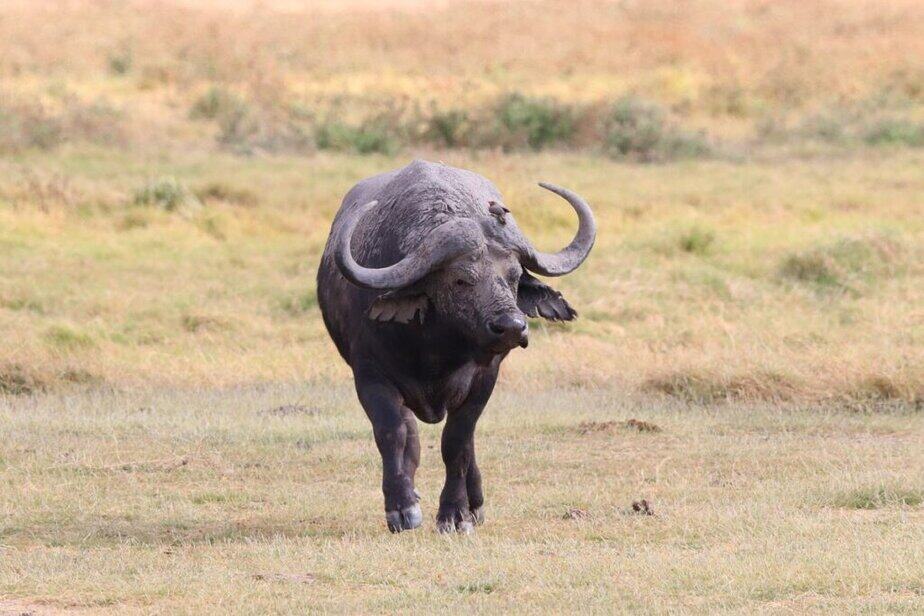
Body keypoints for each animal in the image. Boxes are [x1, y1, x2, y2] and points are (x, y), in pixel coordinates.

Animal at [317, 160, 596, 533]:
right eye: (461, 279)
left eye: (513, 276)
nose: (512, 327)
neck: (434, 349)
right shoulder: (369, 375)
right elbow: (393, 434)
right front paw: (402, 507)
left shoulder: (484, 378)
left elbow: (458, 441)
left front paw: (455, 513)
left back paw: (474, 503)